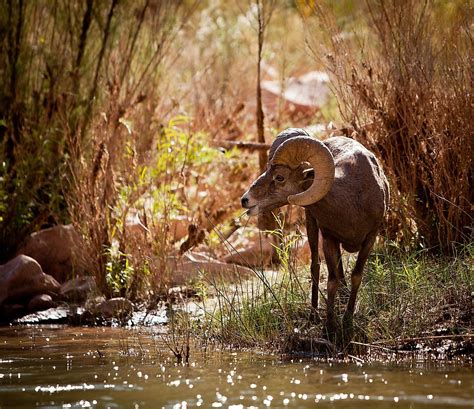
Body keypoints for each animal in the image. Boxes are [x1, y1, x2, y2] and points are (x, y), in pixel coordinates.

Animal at [241, 129, 388, 336]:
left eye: (279, 177)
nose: (245, 200)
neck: (352, 201)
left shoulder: (370, 238)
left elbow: (356, 276)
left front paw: (347, 322)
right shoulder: (328, 238)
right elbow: (332, 281)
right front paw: (330, 327)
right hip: (312, 226)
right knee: (316, 266)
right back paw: (314, 315)